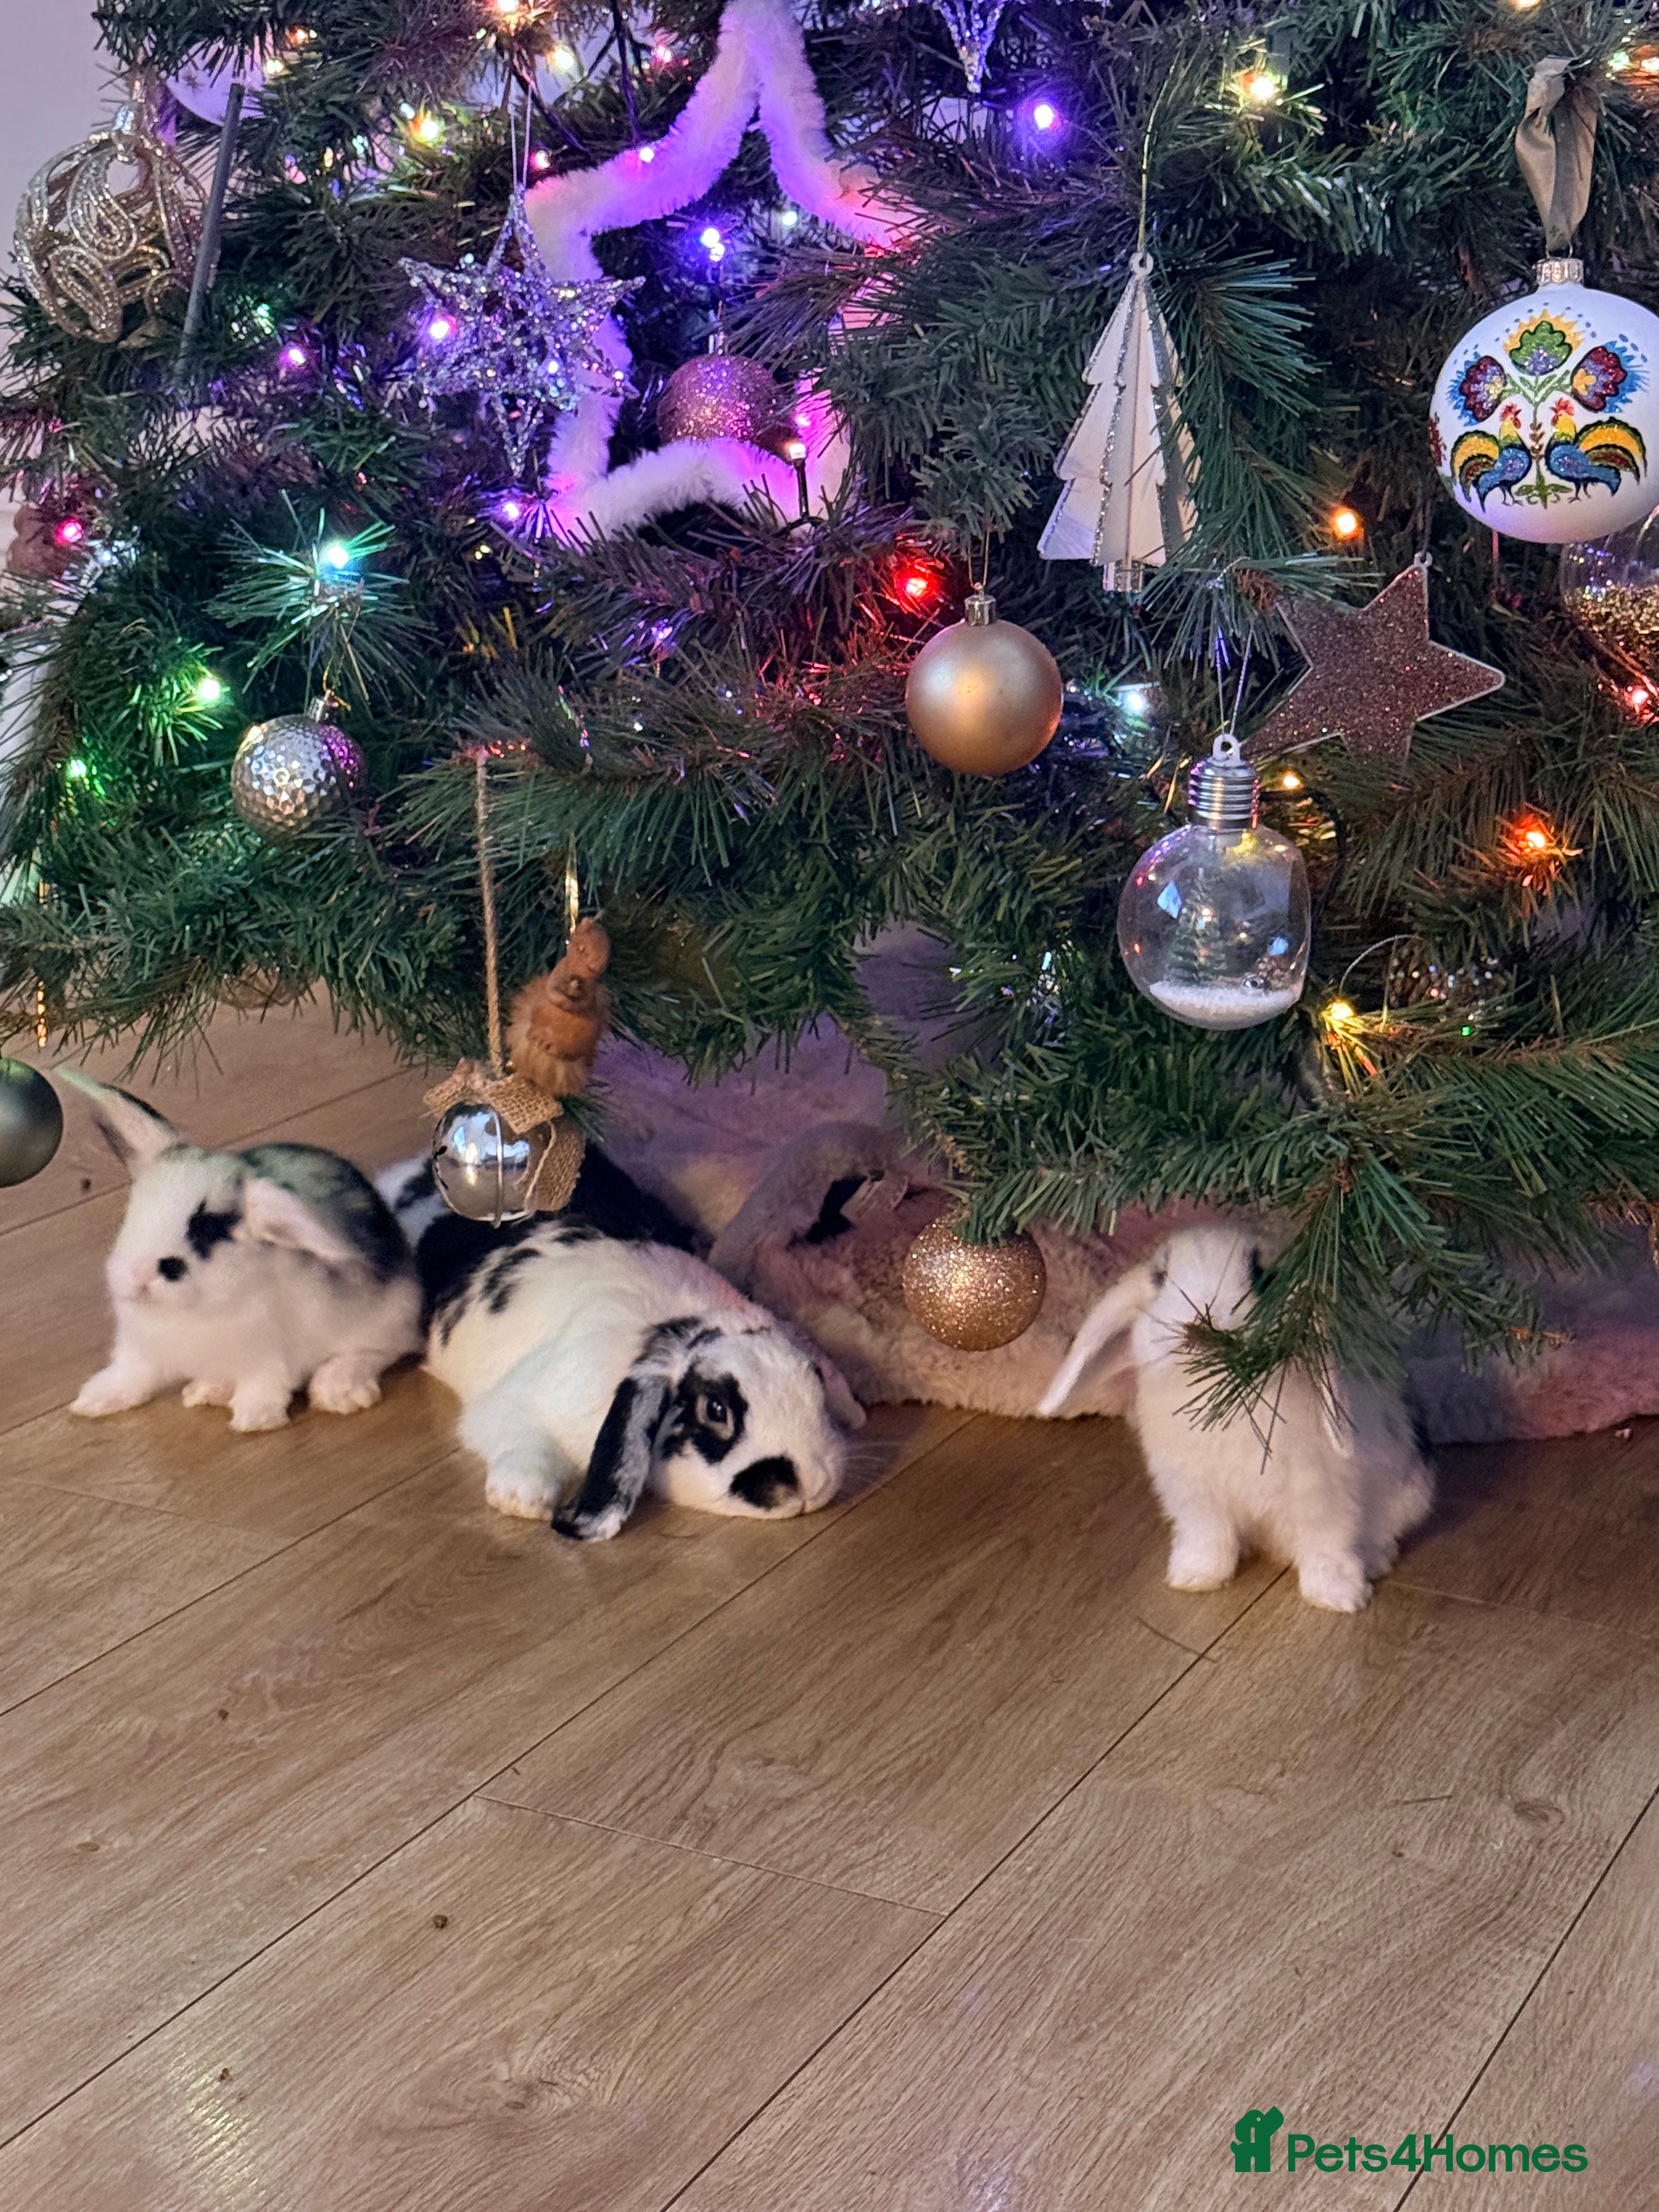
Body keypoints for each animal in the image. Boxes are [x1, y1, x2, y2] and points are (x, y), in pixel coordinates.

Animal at [64, 1072, 423, 1433]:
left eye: (210, 1230)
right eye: (134, 1211)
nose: (139, 1278)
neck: (191, 1311)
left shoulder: (270, 1356)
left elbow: (265, 1384)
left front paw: (254, 1420)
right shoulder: (138, 1349)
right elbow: (130, 1375)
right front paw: (93, 1401)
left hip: (387, 1316)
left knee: (383, 1348)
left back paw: (339, 1389)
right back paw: (207, 1390)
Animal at [383, 1155, 863, 1538]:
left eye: (816, 1384)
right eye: (715, 1410)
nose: (811, 1484)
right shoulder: (517, 1405)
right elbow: (521, 1439)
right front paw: (521, 1498)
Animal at [1038, 1224, 1433, 1612]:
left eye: (1264, 1277)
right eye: (1160, 1277)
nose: (1200, 1322)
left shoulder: (1324, 1495)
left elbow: (1328, 1545)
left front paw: (1338, 1598)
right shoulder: (1196, 1498)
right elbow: (1209, 1540)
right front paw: (1194, 1578)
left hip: (1407, 1495)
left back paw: (1376, 1560)